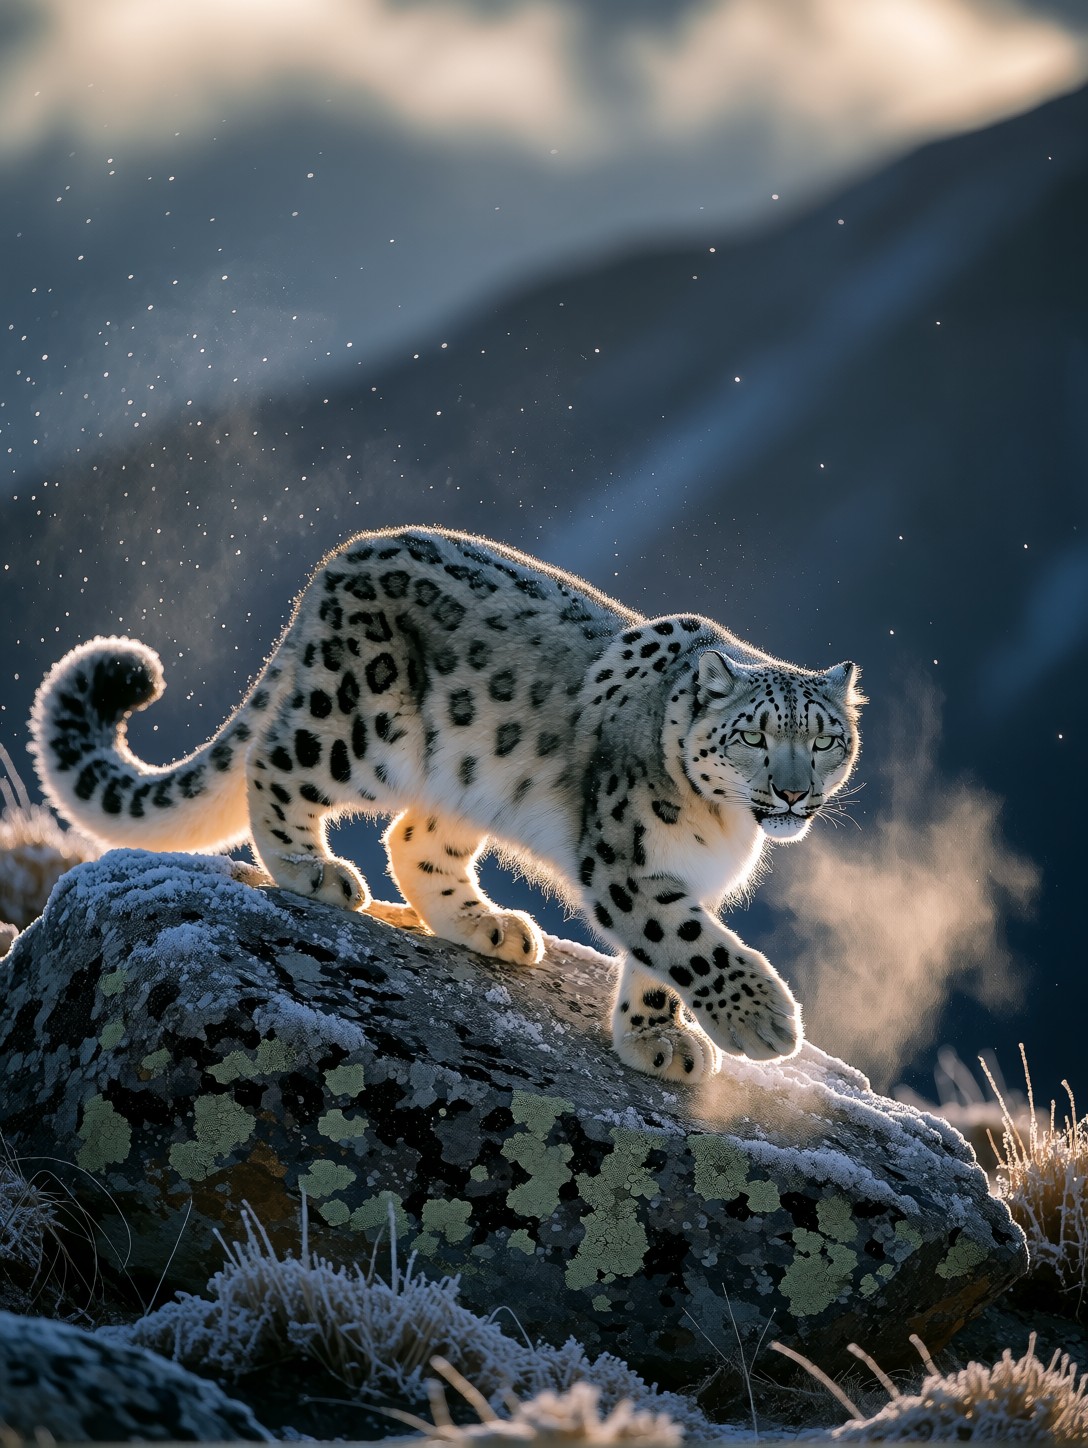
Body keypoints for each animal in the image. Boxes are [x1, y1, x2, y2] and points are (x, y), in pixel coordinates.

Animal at [30, 525, 864, 1082]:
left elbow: (660, 959)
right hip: (359, 727)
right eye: (754, 735)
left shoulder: (677, 877)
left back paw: (490, 927)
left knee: (413, 840)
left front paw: (657, 1041)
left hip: (467, 780)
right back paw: (311, 871)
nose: (793, 791)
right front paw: (764, 1020)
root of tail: (341, 557)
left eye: (826, 739)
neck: (724, 830)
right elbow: (688, 941)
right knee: (277, 763)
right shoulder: (627, 862)